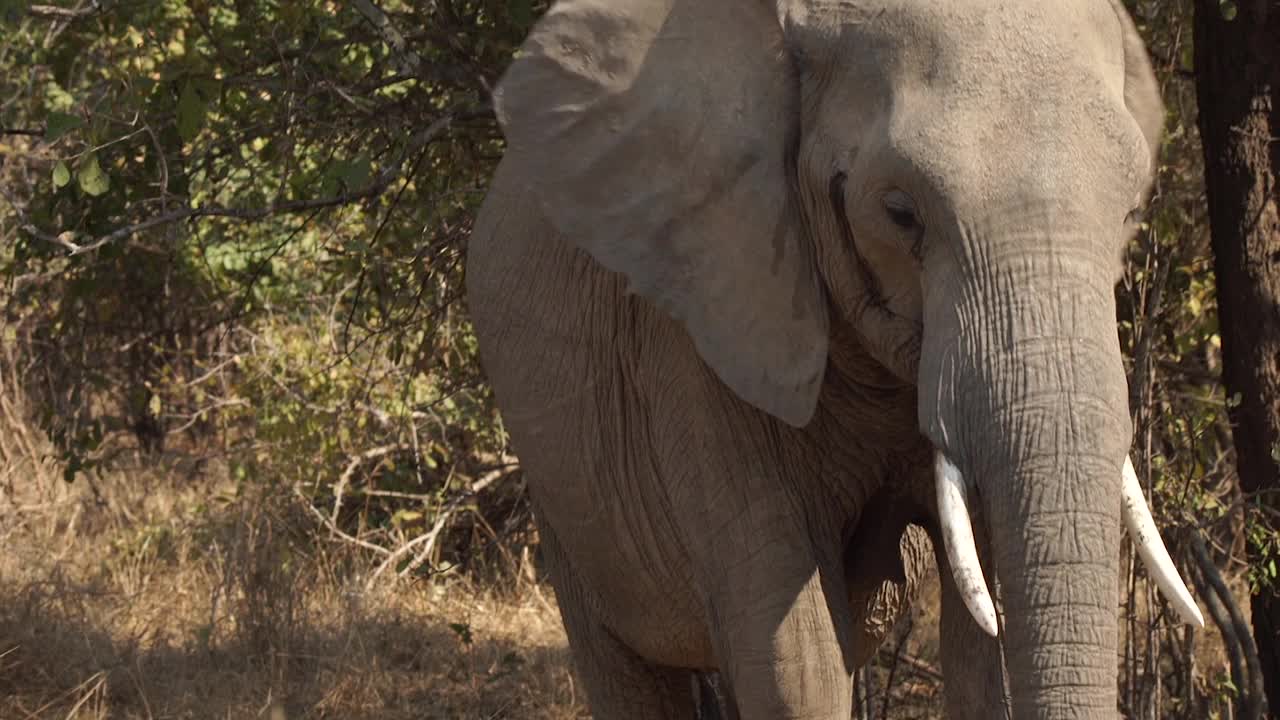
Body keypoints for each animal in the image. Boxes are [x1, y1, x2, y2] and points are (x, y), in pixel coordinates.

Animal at [465, 0, 1203, 712]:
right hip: (561, 494)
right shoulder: (700, 330)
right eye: (900, 213)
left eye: (1131, 212)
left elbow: (977, 650)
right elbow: (797, 659)